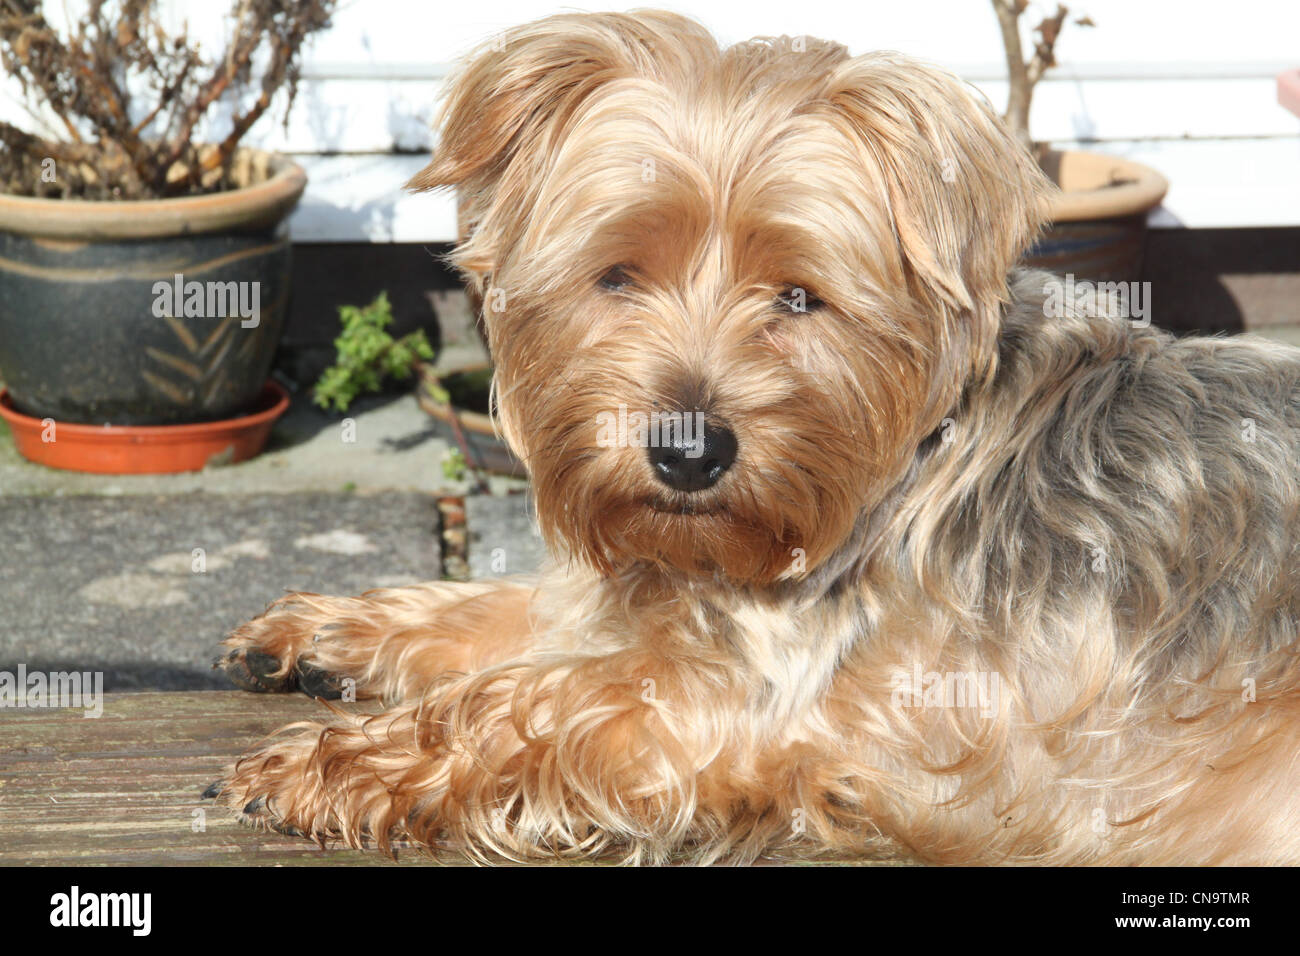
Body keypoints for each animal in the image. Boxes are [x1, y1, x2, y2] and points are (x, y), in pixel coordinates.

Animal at [213, 9, 1300, 868]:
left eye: (799, 296)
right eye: (617, 275)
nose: (688, 451)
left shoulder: (756, 702)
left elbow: (525, 701)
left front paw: (337, 759)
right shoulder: (639, 594)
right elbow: (513, 613)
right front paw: (328, 631)